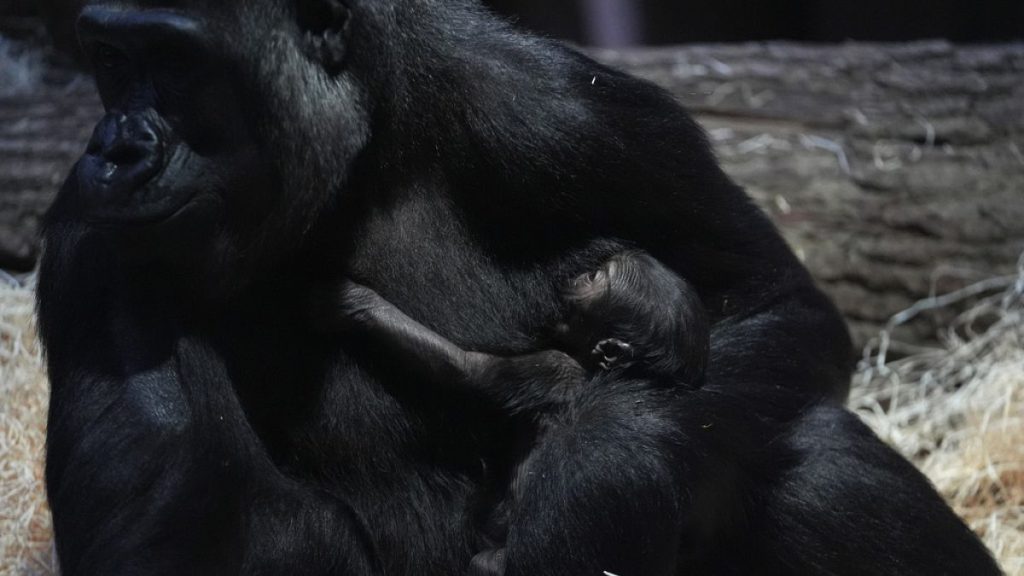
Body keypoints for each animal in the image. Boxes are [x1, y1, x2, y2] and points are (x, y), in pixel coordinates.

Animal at [327, 251, 704, 573]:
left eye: (595, 277)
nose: (578, 274)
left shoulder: (553, 367)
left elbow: (467, 368)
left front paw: (353, 302)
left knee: (485, 563)